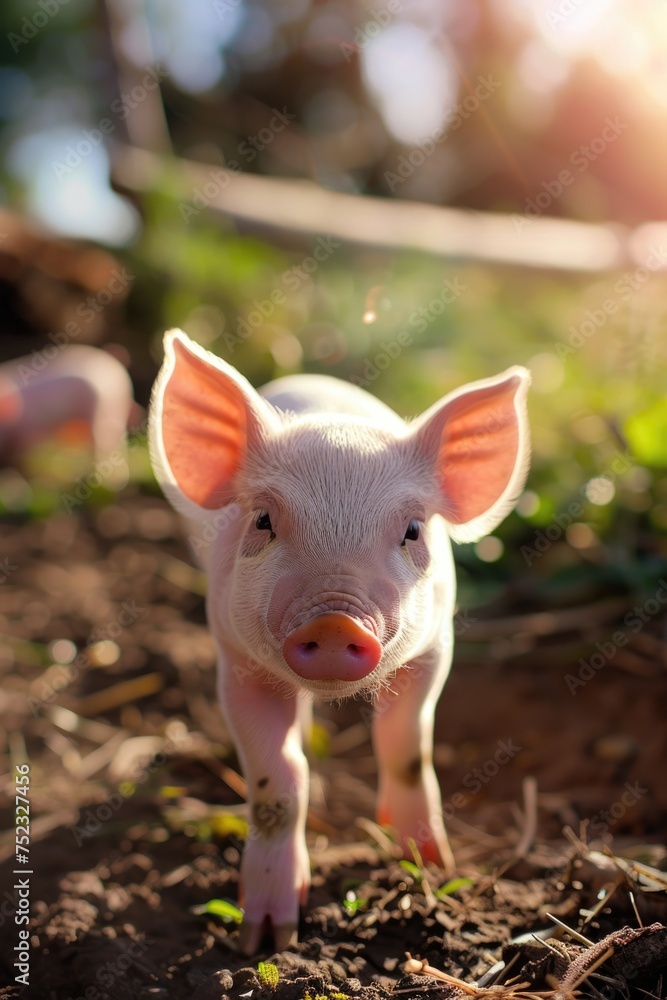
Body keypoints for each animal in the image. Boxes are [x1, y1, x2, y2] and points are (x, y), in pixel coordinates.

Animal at [149, 328, 531, 954]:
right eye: (262, 520)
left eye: (412, 530)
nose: (334, 622)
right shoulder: (237, 663)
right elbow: (277, 784)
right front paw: (266, 938)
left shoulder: (434, 648)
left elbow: (407, 748)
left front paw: (429, 864)